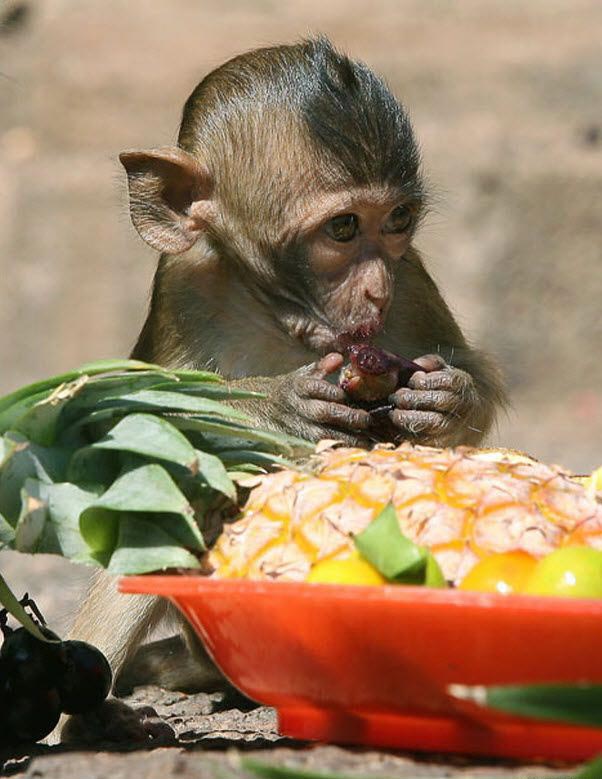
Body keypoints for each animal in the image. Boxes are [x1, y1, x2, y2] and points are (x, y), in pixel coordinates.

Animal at [61, 38, 504, 744]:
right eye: (344, 228)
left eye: (398, 220)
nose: (375, 289)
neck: (279, 311)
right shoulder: (182, 288)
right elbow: (134, 431)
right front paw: (278, 405)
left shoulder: (411, 277)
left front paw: (447, 397)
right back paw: (88, 723)